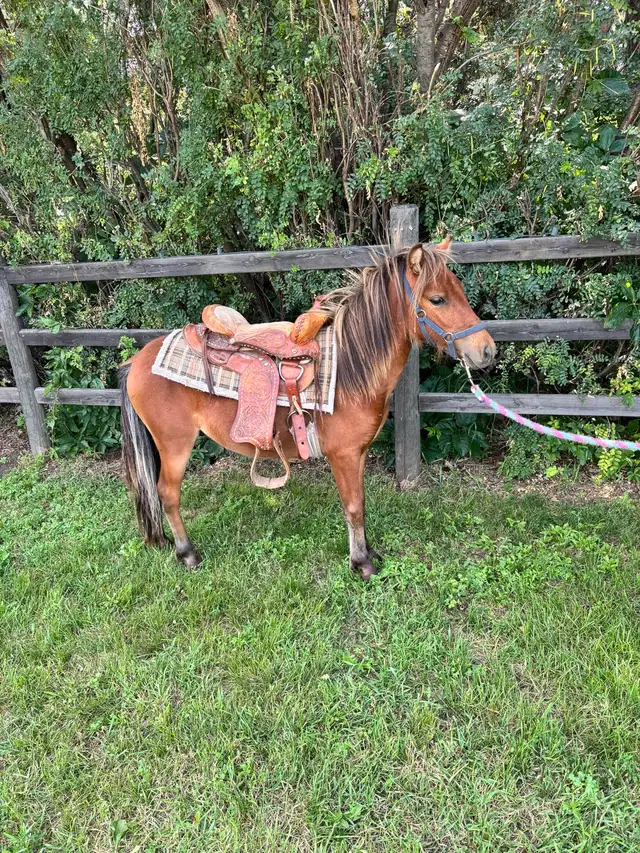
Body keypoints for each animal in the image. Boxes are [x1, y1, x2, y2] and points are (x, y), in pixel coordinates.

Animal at [119, 241, 496, 580]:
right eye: (437, 299)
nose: (487, 350)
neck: (350, 368)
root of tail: (137, 361)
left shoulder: (358, 454)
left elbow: (359, 505)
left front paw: (367, 552)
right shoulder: (343, 455)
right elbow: (353, 507)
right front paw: (362, 564)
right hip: (175, 444)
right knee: (167, 493)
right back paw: (187, 554)